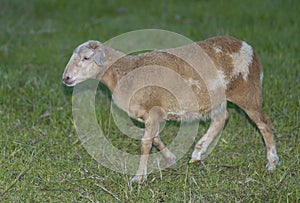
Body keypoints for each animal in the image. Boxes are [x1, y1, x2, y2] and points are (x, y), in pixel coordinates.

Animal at [62, 36, 280, 184]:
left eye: (86, 58)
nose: (66, 78)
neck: (124, 73)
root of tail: (246, 46)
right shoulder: (151, 116)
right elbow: (155, 138)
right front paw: (171, 160)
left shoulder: (154, 111)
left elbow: (145, 142)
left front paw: (138, 178)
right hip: (216, 98)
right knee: (221, 119)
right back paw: (198, 152)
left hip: (247, 91)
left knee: (263, 123)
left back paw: (271, 162)